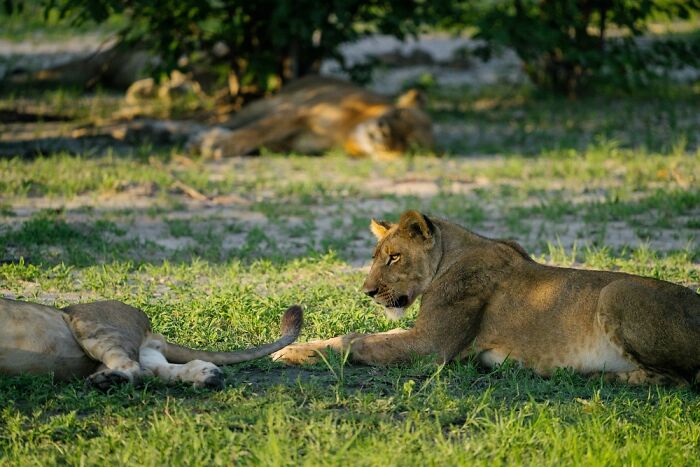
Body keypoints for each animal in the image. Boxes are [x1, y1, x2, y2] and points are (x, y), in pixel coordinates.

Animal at [0, 298, 302, 390]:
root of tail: (150, 330)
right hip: (147, 355)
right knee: (160, 370)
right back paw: (209, 377)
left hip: (92, 326)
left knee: (134, 368)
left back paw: (108, 381)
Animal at [194, 76, 434, 159]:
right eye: (399, 114)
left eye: (407, 143)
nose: (384, 132)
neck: (347, 132)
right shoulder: (300, 111)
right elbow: (258, 130)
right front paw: (217, 144)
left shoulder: (296, 144)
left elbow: (265, 141)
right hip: (267, 103)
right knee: (231, 121)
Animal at [273, 210, 700, 386]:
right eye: (377, 257)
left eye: (394, 257)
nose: (368, 292)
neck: (450, 256)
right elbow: (356, 335)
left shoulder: (432, 347)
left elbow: (355, 342)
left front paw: (289, 352)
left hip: (615, 292)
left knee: (678, 379)